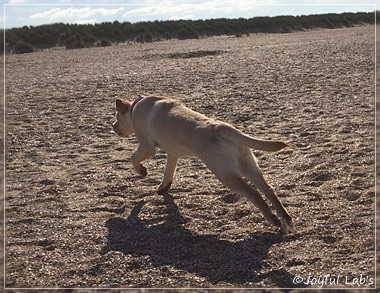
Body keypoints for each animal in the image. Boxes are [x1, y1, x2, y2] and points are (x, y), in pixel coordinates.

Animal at [113, 94, 294, 233]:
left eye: (116, 117)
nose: (113, 127)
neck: (135, 107)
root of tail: (221, 128)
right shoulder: (172, 153)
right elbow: (168, 172)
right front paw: (163, 187)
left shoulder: (147, 147)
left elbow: (133, 158)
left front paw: (142, 171)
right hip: (249, 166)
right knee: (268, 190)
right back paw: (285, 219)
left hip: (225, 174)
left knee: (254, 193)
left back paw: (272, 219)